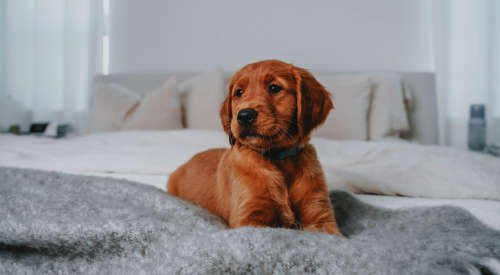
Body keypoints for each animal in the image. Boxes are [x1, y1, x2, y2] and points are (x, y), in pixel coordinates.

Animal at [166, 60, 342, 237]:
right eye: (239, 92)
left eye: (274, 88)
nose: (244, 116)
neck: (277, 158)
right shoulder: (249, 217)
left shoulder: (320, 215)